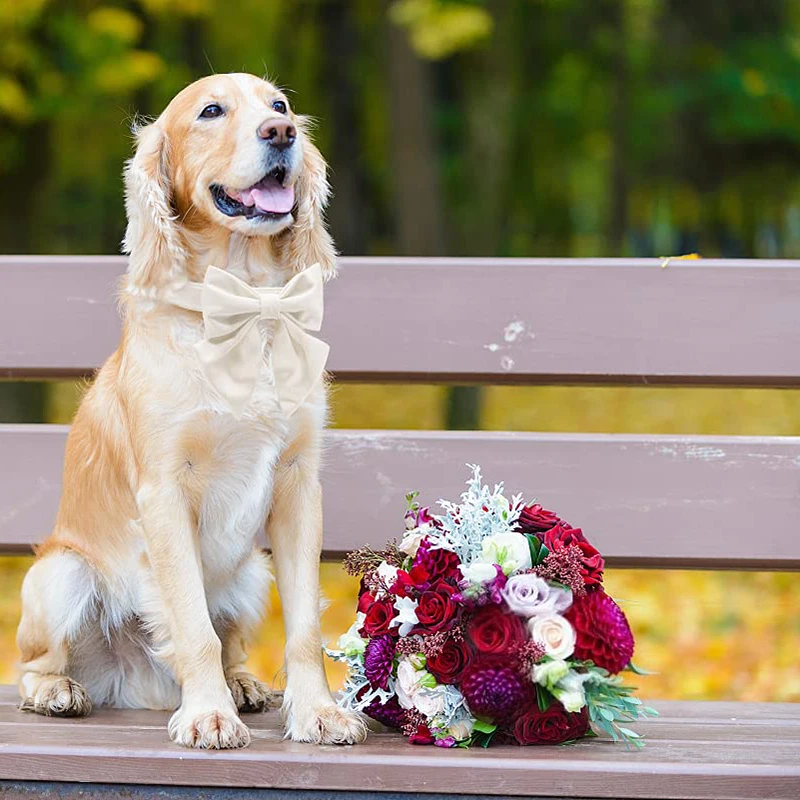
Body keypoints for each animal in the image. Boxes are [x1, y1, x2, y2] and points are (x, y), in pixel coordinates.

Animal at [16, 73, 366, 752]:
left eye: (279, 106)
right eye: (211, 111)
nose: (281, 133)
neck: (246, 302)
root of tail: (131, 684)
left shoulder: (298, 484)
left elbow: (303, 627)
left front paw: (317, 712)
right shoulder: (164, 491)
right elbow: (192, 626)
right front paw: (208, 715)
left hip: (252, 572)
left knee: (231, 643)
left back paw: (243, 684)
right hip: (58, 574)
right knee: (36, 662)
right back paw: (58, 691)